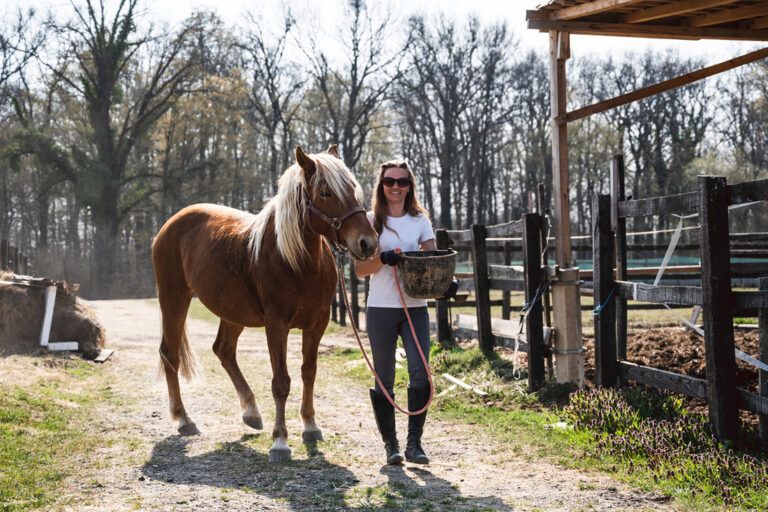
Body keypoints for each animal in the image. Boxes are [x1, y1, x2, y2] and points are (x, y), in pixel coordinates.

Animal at [152, 145, 378, 462]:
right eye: (325, 193)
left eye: (352, 189)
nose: (367, 243)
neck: (298, 261)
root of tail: (170, 224)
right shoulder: (276, 324)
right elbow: (281, 382)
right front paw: (280, 442)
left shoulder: (317, 323)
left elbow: (309, 372)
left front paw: (310, 426)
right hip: (174, 298)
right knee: (171, 355)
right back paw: (184, 419)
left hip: (232, 312)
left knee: (223, 350)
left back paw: (251, 412)